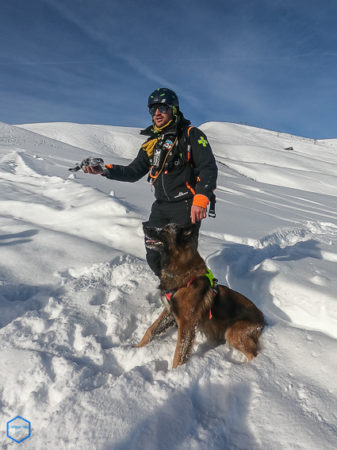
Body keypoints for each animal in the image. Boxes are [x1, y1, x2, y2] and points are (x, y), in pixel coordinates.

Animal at [138, 222, 264, 370]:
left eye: (165, 230)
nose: (144, 225)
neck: (182, 274)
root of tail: (263, 318)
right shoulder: (169, 312)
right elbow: (150, 330)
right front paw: (135, 348)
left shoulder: (186, 324)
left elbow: (179, 354)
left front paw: (175, 372)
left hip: (233, 333)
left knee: (254, 354)